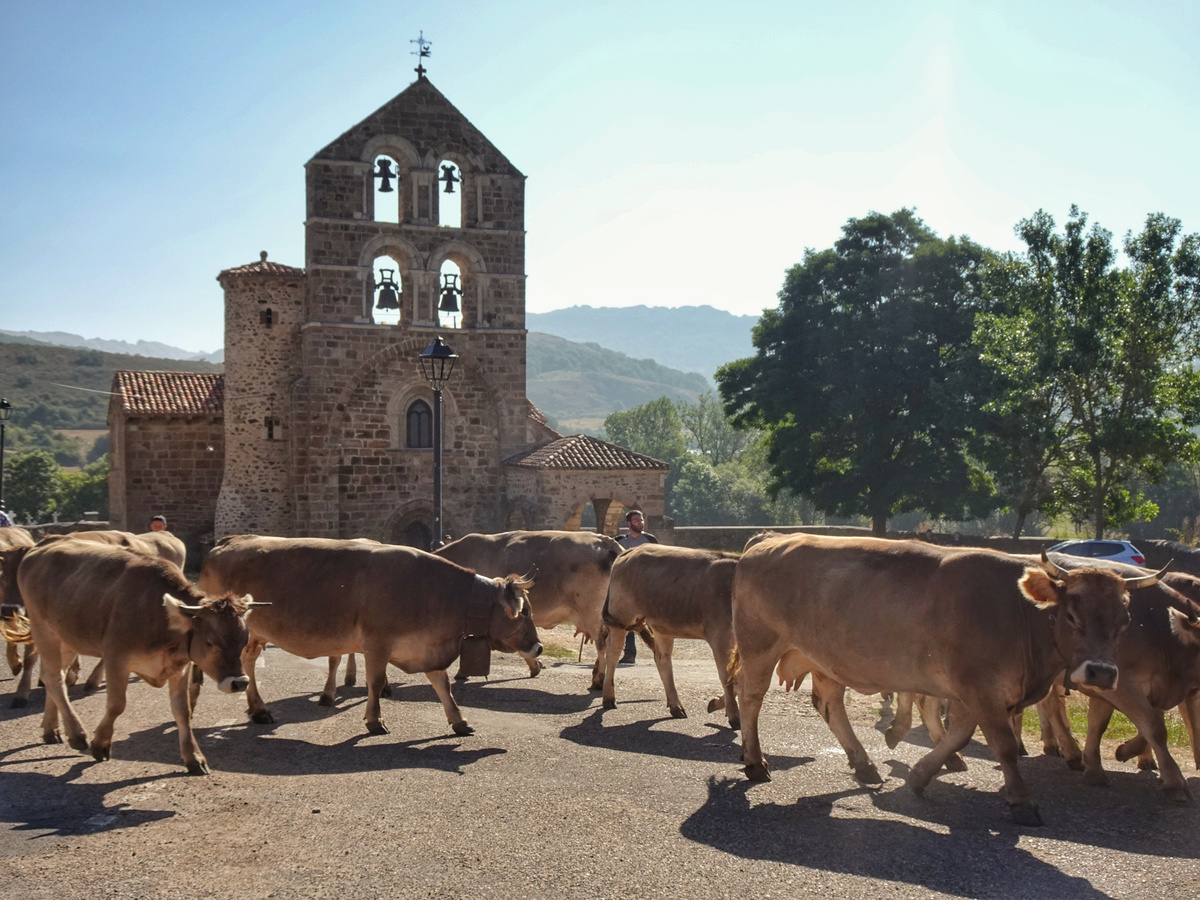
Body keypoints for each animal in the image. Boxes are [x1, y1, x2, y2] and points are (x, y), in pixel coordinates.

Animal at [0, 540, 258, 777]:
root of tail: (41, 547)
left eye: (243, 639)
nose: (239, 683)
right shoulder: (116, 658)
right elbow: (116, 705)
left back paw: (50, 729)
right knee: (53, 678)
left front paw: (194, 758)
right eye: (210, 642)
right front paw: (100, 744)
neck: (158, 616)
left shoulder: (180, 667)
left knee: (53, 676)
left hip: (68, 637)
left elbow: (182, 712)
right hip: (44, 630)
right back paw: (76, 734)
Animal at [199, 540, 542, 734]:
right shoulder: (378, 643)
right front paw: (375, 721)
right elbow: (375, 682)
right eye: (525, 612)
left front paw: (459, 721)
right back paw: (258, 708)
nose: (538, 647)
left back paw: (256, 709)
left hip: (255, 634)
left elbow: (442, 685)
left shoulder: (426, 647)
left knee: (248, 662)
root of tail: (226, 544)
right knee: (245, 663)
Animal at [600, 547, 739, 729]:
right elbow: (728, 677)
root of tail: (631, 550)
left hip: (661, 626)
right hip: (622, 616)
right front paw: (734, 716)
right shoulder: (721, 635)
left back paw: (676, 706)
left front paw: (717, 704)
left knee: (662, 659)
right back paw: (608, 698)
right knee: (613, 653)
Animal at [729, 535, 1152, 825]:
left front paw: (919, 776)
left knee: (830, 705)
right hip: (759, 646)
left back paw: (863, 764)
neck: (1020, 613)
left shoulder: (972, 694)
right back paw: (755, 761)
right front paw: (1021, 800)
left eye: (1124, 620)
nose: (1101, 672)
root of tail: (767, 540)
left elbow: (959, 735)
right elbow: (1003, 745)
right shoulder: (980, 688)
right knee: (750, 697)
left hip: (826, 659)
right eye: (1071, 615)